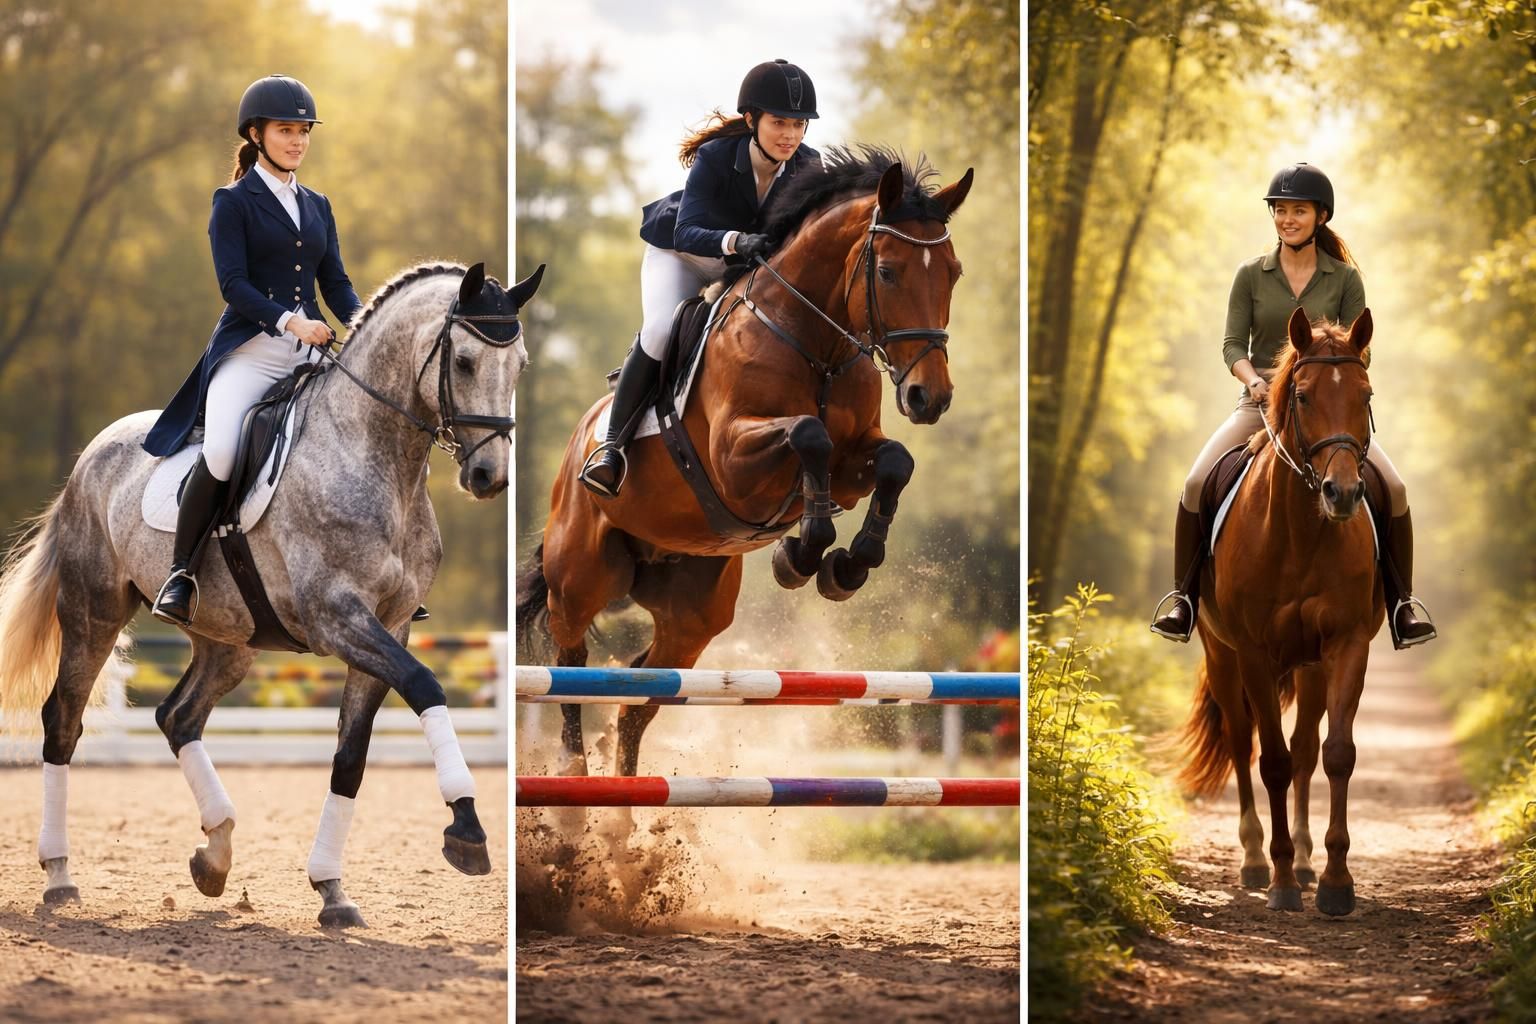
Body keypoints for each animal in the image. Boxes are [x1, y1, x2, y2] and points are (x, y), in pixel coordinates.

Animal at [0, 260, 541, 927]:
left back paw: (215, 854)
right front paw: (466, 826)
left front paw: (333, 889)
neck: (378, 458)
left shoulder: (390, 625)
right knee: (63, 721)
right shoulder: (337, 618)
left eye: (519, 365)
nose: (491, 477)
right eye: (464, 361)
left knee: (177, 716)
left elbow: (351, 756)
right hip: (93, 614)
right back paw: (59, 875)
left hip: (228, 639)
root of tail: (91, 456)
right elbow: (425, 685)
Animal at [517, 146, 973, 778]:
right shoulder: (735, 461)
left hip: (695, 613)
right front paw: (802, 554)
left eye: (953, 272)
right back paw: (571, 777)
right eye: (887, 272)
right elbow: (809, 435)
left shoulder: (853, 463)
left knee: (638, 694)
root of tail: (576, 451)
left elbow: (893, 463)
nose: (931, 398)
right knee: (571, 659)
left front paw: (846, 566)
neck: (818, 345)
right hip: (582, 575)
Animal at [1179, 306, 1384, 916]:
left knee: (1306, 751)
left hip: (1311, 667)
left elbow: (1335, 754)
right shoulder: (1252, 653)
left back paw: (1309, 859)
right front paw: (1282, 881)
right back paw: (1254, 860)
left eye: (1365, 394)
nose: (1343, 494)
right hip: (1223, 657)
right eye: (1303, 396)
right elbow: (1268, 759)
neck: (1300, 534)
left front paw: (1335, 882)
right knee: (1243, 742)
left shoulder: (1346, 645)